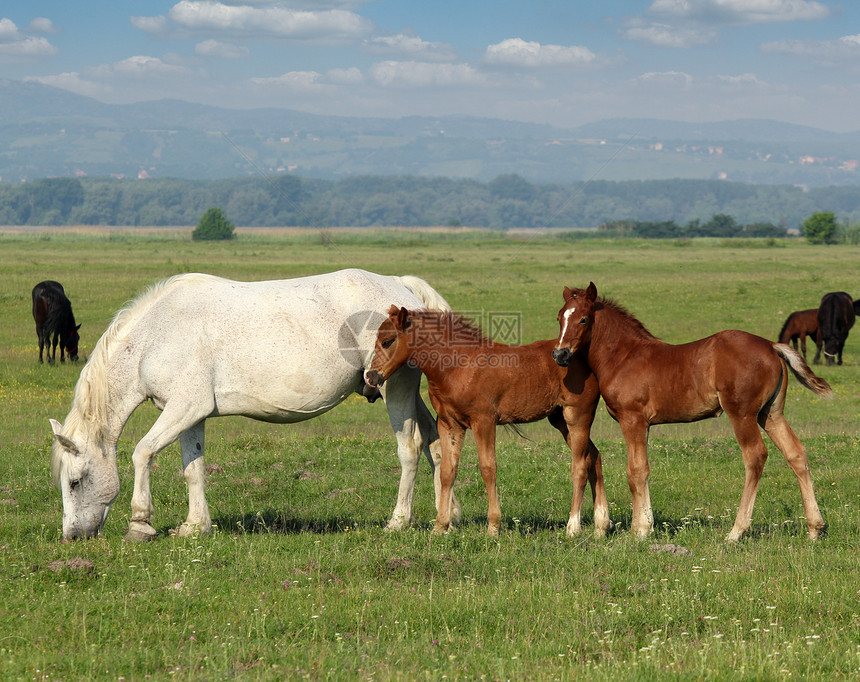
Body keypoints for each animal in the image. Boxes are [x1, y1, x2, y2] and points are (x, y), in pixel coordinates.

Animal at [50, 268, 460, 540]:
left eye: (74, 481)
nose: (72, 536)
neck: (156, 335)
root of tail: (401, 285)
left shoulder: (183, 408)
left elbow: (142, 452)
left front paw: (140, 522)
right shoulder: (190, 414)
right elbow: (193, 468)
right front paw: (196, 525)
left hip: (396, 389)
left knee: (411, 449)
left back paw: (398, 521)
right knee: (437, 444)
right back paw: (449, 514)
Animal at [364, 306, 612, 536]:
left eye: (387, 341)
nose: (371, 377)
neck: (459, 365)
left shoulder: (483, 421)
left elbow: (487, 467)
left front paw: (493, 526)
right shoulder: (448, 423)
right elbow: (447, 471)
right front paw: (440, 526)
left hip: (577, 417)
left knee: (580, 465)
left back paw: (574, 528)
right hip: (560, 420)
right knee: (594, 457)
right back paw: (601, 525)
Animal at [552, 282, 832, 540]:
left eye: (583, 319)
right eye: (559, 317)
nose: (560, 354)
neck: (624, 356)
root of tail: (772, 345)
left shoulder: (633, 420)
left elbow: (636, 471)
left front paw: (640, 531)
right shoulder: (645, 424)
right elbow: (642, 469)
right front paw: (644, 525)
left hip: (742, 414)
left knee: (755, 456)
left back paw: (736, 532)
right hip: (770, 414)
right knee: (796, 453)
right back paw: (814, 529)